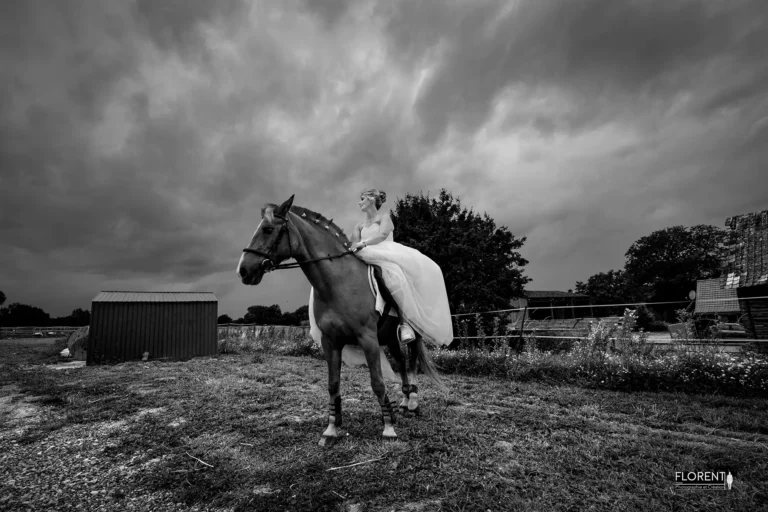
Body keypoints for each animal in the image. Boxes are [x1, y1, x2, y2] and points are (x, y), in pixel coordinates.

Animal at [237, 194, 447, 445]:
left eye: (268, 229)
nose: (243, 270)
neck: (338, 282)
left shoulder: (368, 339)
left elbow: (377, 383)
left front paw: (388, 428)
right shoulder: (331, 341)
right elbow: (333, 385)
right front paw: (331, 429)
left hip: (412, 333)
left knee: (413, 360)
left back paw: (413, 403)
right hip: (389, 337)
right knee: (401, 361)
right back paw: (405, 402)